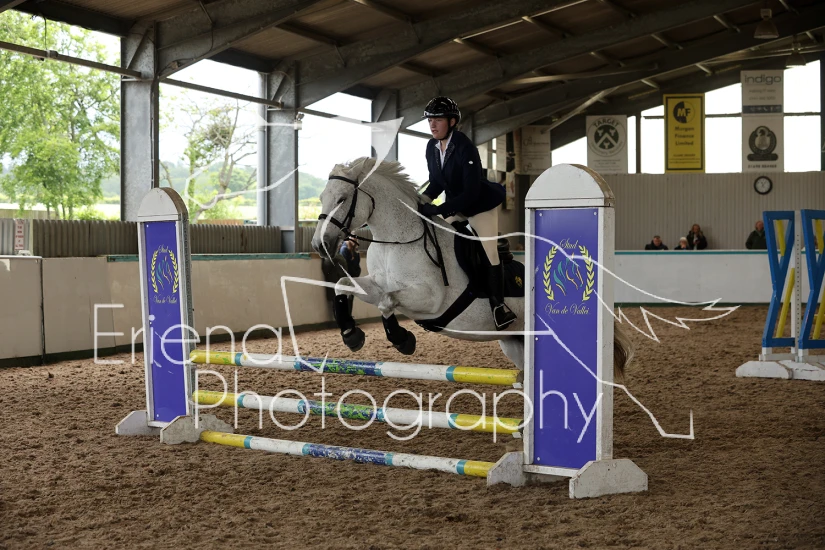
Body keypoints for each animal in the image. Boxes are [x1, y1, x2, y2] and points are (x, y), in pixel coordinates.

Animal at [310, 157, 633, 377]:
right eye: (322, 198)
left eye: (342, 199)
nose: (319, 244)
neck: (398, 239)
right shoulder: (376, 283)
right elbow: (343, 285)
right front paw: (351, 335)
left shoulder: (430, 299)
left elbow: (387, 302)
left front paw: (402, 340)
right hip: (516, 343)